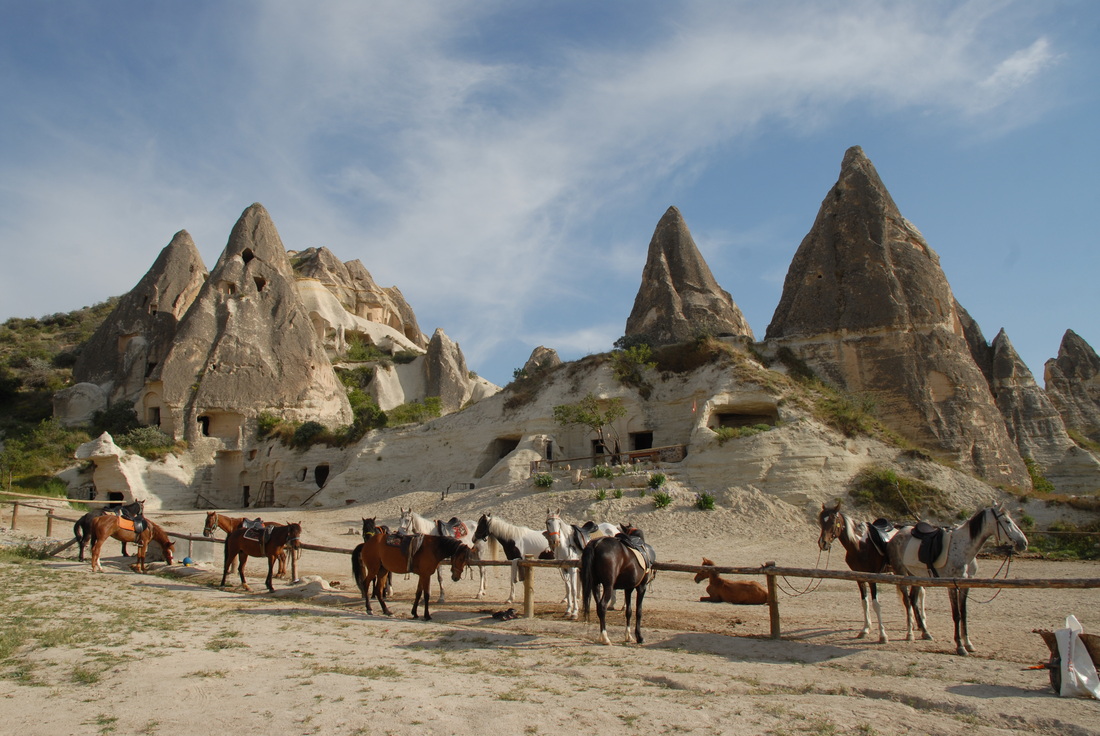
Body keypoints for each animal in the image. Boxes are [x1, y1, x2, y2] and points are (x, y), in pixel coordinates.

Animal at [814, 499, 897, 642]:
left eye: (832, 522)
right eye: (821, 522)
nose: (822, 543)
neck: (858, 546)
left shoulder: (872, 577)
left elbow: (876, 604)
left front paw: (883, 635)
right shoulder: (859, 578)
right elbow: (865, 603)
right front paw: (865, 629)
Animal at [884, 499, 1029, 655]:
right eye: (1007, 521)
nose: (1023, 543)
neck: (963, 548)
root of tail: (896, 534)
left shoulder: (965, 584)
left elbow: (964, 613)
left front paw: (968, 643)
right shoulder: (952, 585)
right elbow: (956, 614)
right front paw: (960, 645)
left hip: (915, 576)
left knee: (913, 600)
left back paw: (925, 632)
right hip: (901, 574)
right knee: (907, 601)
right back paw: (910, 634)